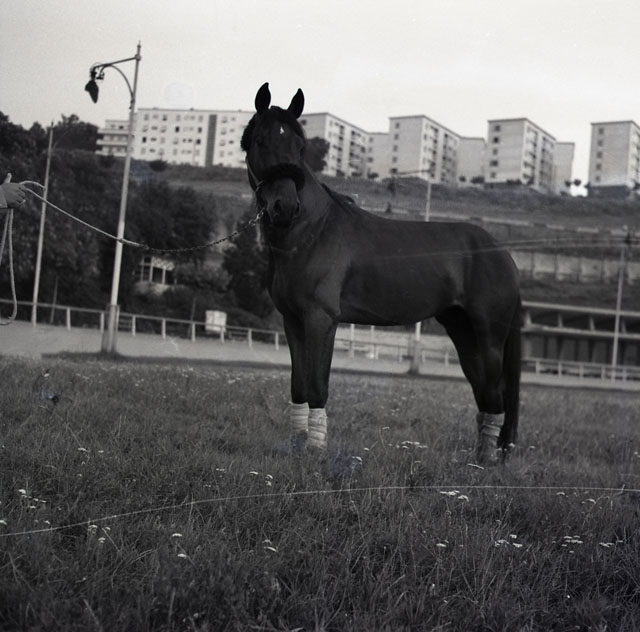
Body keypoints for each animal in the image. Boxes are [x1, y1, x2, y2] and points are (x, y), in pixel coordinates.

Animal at [241, 83, 521, 463]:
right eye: (261, 141)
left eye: (299, 146)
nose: (284, 207)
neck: (311, 231)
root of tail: (503, 254)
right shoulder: (293, 321)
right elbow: (298, 385)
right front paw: (297, 447)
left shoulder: (321, 320)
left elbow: (317, 386)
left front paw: (316, 452)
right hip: (463, 333)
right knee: (484, 395)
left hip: (490, 335)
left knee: (494, 396)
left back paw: (485, 463)